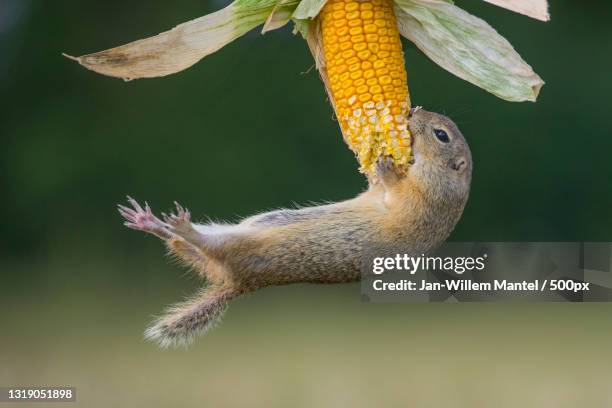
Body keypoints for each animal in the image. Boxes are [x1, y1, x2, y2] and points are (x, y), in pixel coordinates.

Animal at [117, 107, 470, 346]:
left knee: (202, 245)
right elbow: (376, 187)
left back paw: (178, 228)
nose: (414, 110)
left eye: (441, 135)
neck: (449, 182)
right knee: (184, 248)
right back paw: (151, 223)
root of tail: (238, 284)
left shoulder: (422, 200)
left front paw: (385, 165)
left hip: (239, 246)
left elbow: (395, 192)